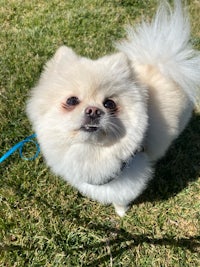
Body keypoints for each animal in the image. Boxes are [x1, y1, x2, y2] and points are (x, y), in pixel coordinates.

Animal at [26, 0, 200, 217]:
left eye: (109, 104)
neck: (90, 149)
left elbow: (120, 198)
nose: (93, 110)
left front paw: (121, 213)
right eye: (72, 100)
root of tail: (161, 61)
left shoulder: (128, 176)